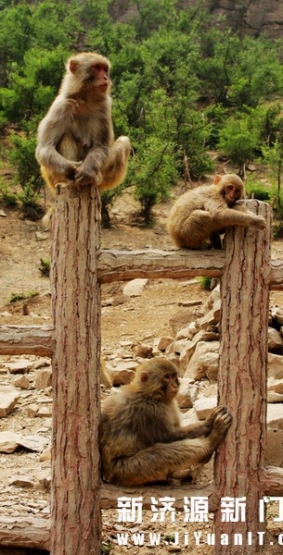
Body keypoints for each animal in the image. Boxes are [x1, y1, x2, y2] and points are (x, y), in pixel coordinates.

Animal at [35, 51, 132, 225]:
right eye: (97, 68)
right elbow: (45, 148)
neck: (85, 99)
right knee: (65, 136)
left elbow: (101, 147)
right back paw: (70, 180)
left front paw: (86, 171)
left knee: (123, 142)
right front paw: (71, 167)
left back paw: (94, 179)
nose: (106, 77)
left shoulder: (104, 106)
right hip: (54, 180)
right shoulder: (62, 105)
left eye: (105, 69)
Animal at [98, 358, 232, 484]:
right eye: (166, 377)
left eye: (173, 376)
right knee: (162, 452)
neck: (151, 394)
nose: (175, 385)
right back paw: (210, 444)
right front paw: (208, 422)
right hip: (127, 470)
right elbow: (168, 437)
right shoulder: (150, 411)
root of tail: (108, 474)